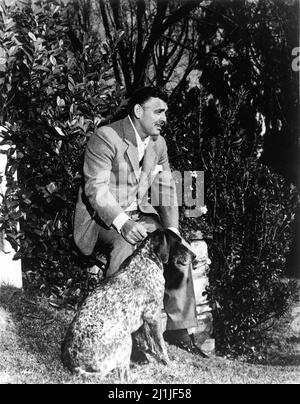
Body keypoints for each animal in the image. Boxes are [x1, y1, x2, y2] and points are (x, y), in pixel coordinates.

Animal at [61, 229, 195, 380]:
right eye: (177, 242)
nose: (194, 256)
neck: (147, 258)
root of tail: (73, 364)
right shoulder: (153, 316)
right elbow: (161, 345)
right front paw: (168, 363)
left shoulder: (145, 319)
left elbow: (149, 340)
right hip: (125, 339)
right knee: (123, 375)